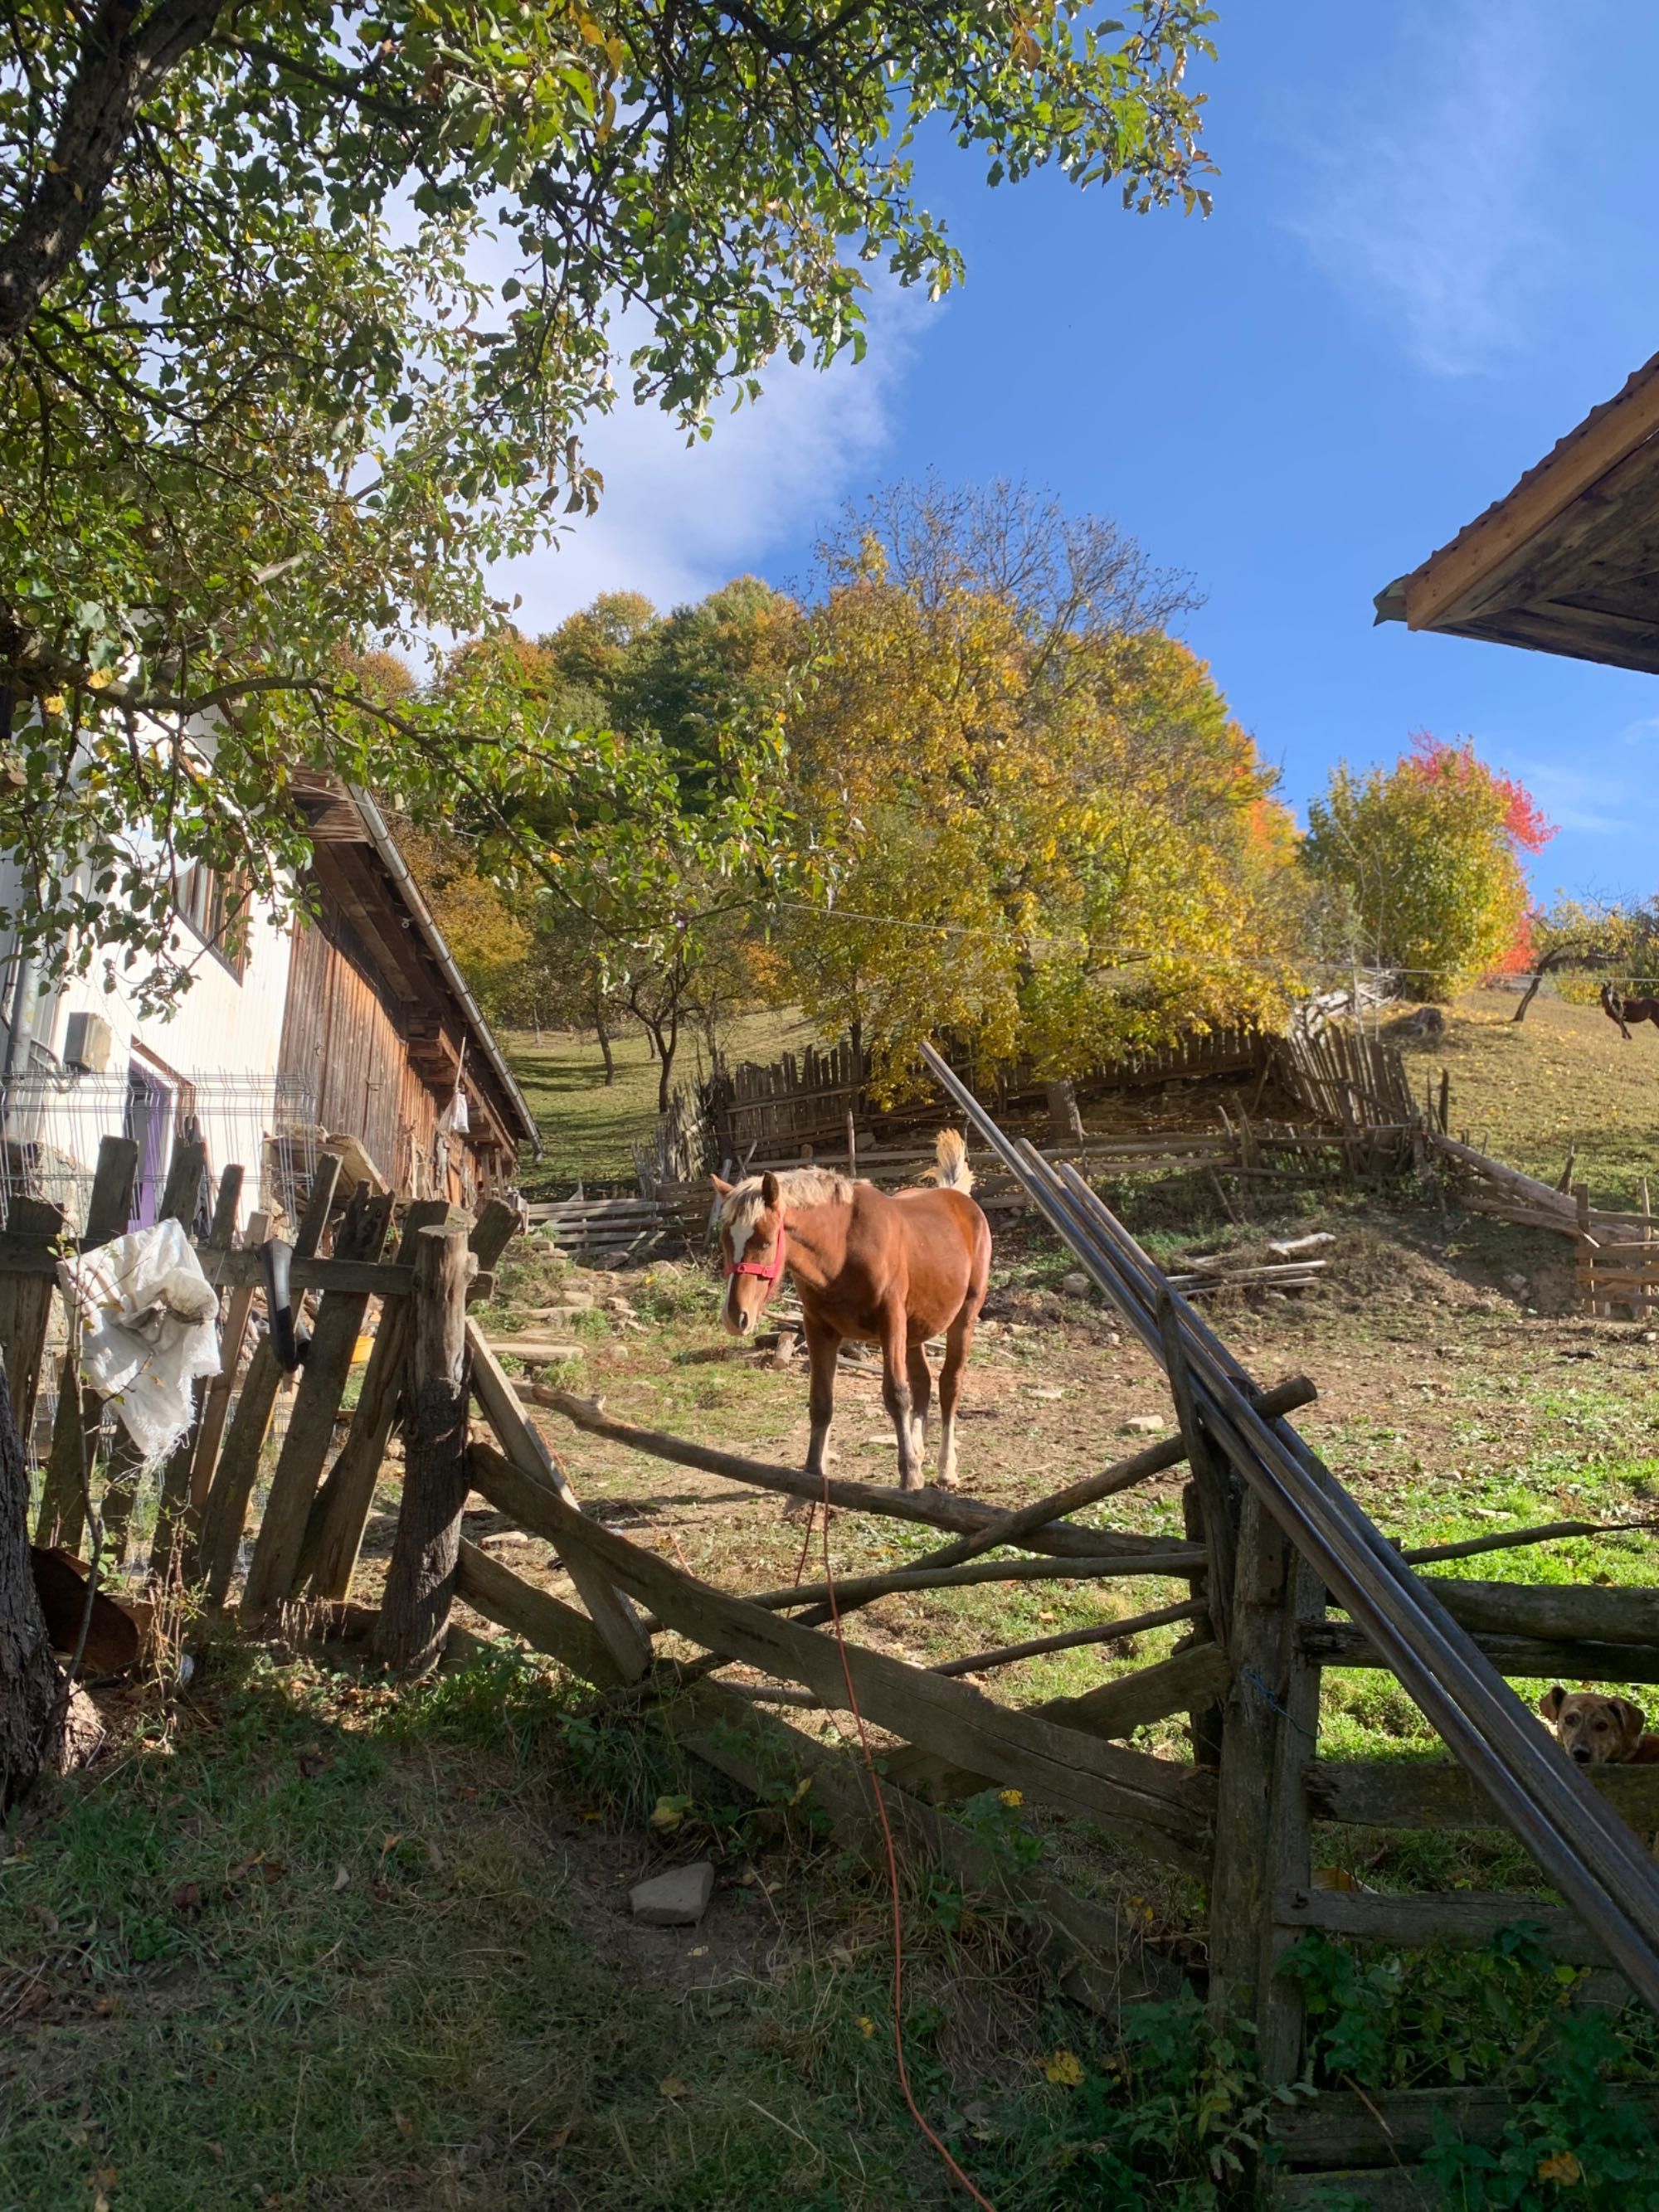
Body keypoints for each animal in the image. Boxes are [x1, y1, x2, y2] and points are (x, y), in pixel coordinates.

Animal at [712, 1132, 995, 1495]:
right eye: (725, 1241)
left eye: (764, 1242)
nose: (736, 1317)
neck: (843, 1248)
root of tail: (958, 1197)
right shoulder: (819, 1328)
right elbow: (821, 1403)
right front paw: (808, 1480)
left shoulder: (891, 1323)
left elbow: (896, 1395)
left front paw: (909, 1477)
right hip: (916, 1328)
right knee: (923, 1383)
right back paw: (919, 1454)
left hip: (962, 1319)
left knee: (949, 1385)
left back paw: (946, 1470)